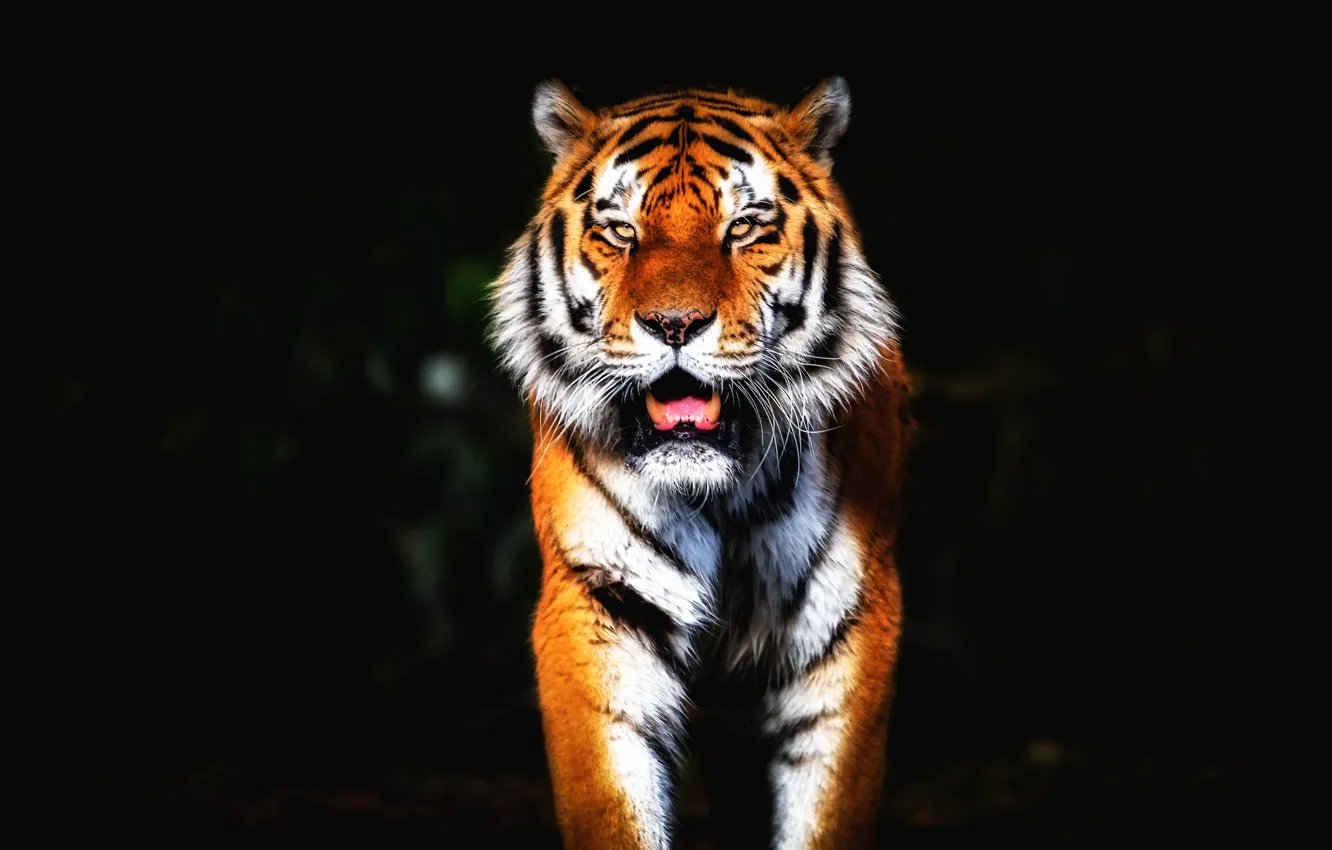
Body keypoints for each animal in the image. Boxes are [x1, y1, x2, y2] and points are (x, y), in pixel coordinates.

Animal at [487, 77, 911, 850]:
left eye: (743, 226)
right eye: (621, 231)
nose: (675, 325)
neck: (721, 493)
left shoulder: (850, 619)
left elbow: (827, 810)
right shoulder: (597, 602)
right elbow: (614, 805)